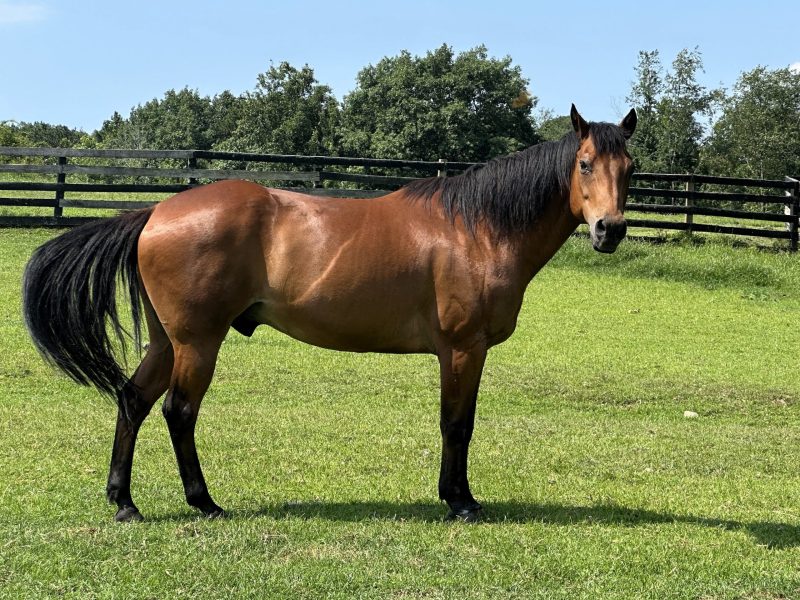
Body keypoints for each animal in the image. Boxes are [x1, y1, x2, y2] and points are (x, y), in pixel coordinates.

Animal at [22, 105, 636, 523]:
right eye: (584, 164)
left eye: (630, 168)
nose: (610, 230)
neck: (477, 229)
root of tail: (154, 213)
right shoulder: (464, 348)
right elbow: (457, 424)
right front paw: (460, 501)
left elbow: (454, 423)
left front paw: (453, 495)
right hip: (198, 343)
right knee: (179, 411)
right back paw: (205, 502)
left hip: (167, 341)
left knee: (133, 400)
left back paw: (124, 502)